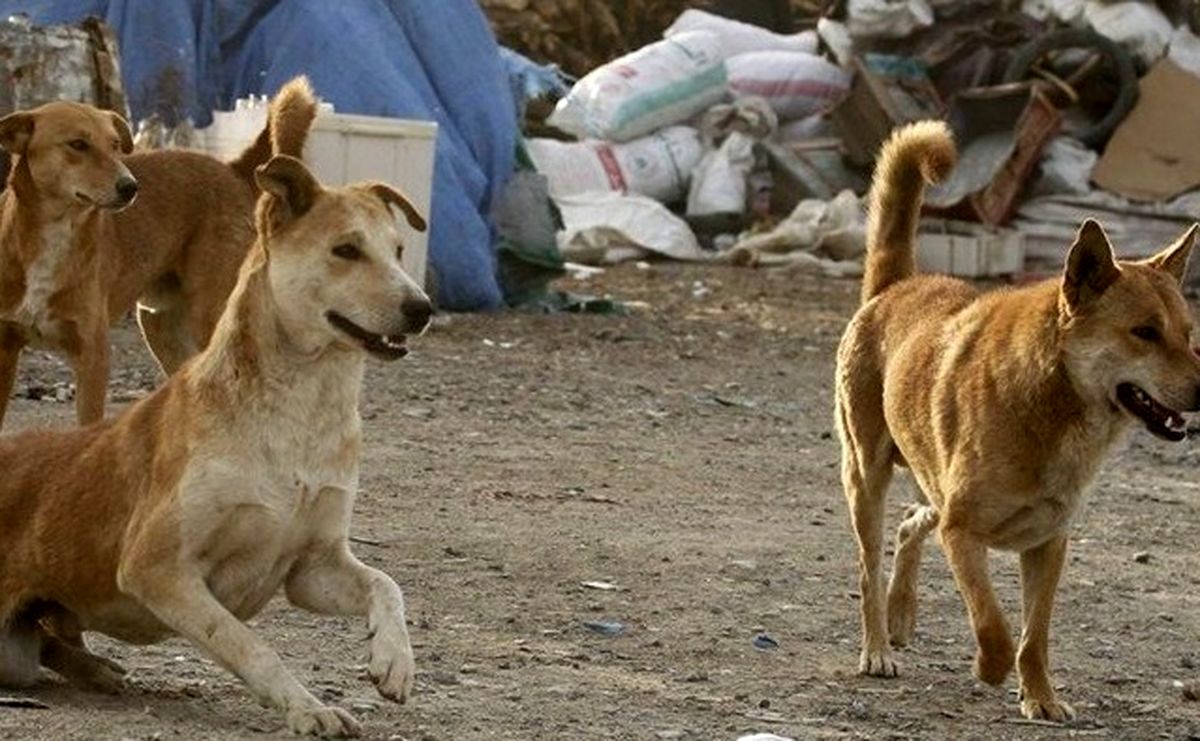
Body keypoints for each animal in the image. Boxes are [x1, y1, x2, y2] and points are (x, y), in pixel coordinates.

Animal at [0, 77, 319, 424]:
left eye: (115, 145)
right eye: (77, 144)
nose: (130, 187)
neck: (54, 234)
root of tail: (232, 169)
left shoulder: (92, 355)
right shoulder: (6, 348)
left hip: (209, 316)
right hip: (160, 327)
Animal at [0, 152, 432, 733]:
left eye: (400, 251)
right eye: (346, 250)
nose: (422, 308)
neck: (302, 412)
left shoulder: (313, 568)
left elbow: (385, 583)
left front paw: (394, 662)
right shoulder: (156, 568)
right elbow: (249, 644)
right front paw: (307, 708)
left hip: (18, 650)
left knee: (47, 645)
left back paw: (99, 670)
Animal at [835, 118, 1200, 719]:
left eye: (1188, 334)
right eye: (1144, 333)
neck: (1055, 405)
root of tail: (896, 286)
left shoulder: (1048, 546)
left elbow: (1035, 637)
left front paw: (1043, 699)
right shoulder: (962, 534)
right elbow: (995, 628)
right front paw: (989, 670)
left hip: (932, 484)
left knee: (912, 521)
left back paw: (902, 613)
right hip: (867, 477)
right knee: (868, 567)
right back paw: (878, 648)